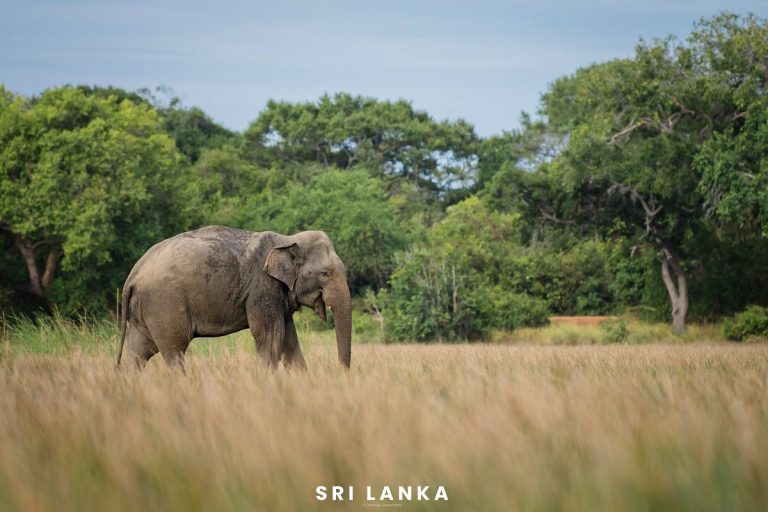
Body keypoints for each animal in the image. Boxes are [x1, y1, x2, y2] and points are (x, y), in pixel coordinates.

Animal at [115, 226, 352, 371]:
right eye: (325, 274)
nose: (341, 373)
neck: (287, 239)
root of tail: (133, 274)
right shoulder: (262, 288)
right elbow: (269, 336)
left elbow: (288, 339)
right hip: (164, 305)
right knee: (174, 352)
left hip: (146, 311)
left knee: (138, 353)